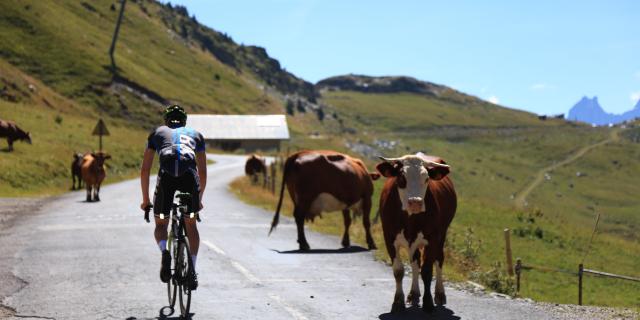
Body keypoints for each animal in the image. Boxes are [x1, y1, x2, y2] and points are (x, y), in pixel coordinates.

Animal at [378, 152, 458, 312]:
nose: (415, 202)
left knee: (439, 260)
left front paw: (428, 303)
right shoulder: (389, 237)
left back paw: (440, 294)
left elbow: (427, 271)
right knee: (415, 263)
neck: (409, 218)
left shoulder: (433, 238)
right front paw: (398, 302)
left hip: (442, 235)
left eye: (426, 178)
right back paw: (414, 294)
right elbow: (399, 271)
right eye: (401, 177)